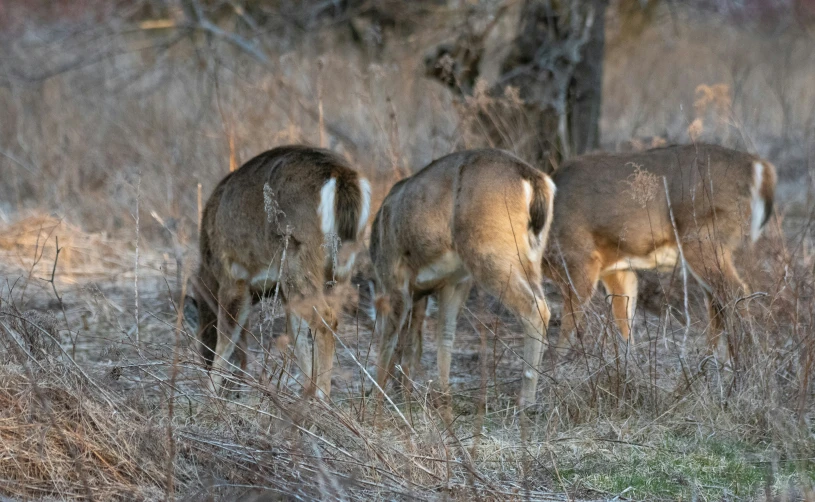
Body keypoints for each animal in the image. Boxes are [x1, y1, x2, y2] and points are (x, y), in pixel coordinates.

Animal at [190, 146, 372, 400]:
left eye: (203, 327)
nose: (203, 361)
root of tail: (341, 174)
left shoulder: (233, 274)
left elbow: (228, 333)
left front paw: (211, 392)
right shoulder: (282, 291)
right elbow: (296, 335)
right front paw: (306, 389)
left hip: (298, 255)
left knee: (326, 319)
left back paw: (323, 397)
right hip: (341, 265)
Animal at [372, 149, 556, 412]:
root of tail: (535, 178)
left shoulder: (394, 278)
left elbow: (388, 341)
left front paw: (375, 399)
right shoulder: (454, 282)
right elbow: (439, 336)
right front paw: (441, 396)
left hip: (489, 250)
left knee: (535, 308)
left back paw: (526, 401)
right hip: (532, 257)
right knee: (542, 303)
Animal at [544, 143, 780, 362]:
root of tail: (759, 166)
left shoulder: (580, 259)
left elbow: (570, 320)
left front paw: (556, 363)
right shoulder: (616, 268)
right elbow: (624, 319)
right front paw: (630, 363)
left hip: (703, 238)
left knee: (734, 291)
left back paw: (744, 358)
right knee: (716, 301)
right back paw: (714, 360)